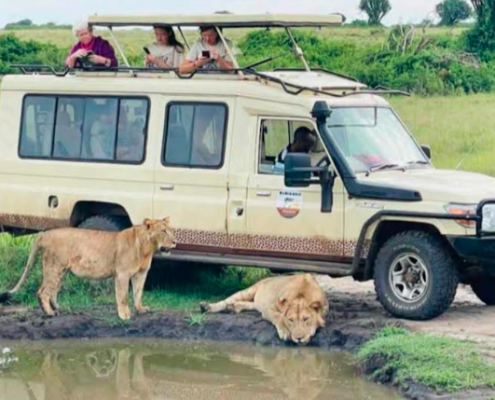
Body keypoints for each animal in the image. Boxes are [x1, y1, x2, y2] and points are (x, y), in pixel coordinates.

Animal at [0, 217, 176, 320]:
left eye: (172, 230)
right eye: (163, 231)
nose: (175, 242)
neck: (147, 249)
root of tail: (45, 233)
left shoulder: (141, 273)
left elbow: (138, 293)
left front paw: (141, 309)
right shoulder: (122, 274)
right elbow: (123, 296)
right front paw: (124, 314)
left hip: (62, 271)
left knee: (53, 291)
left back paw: (57, 308)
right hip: (54, 267)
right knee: (42, 291)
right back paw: (49, 313)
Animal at [200, 274, 328, 346]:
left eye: (306, 319)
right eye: (291, 320)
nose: (299, 338)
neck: (302, 294)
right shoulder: (269, 308)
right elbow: (278, 317)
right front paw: (284, 332)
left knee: (250, 304)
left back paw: (233, 307)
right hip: (249, 291)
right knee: (227, 300)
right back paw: (206, 307)